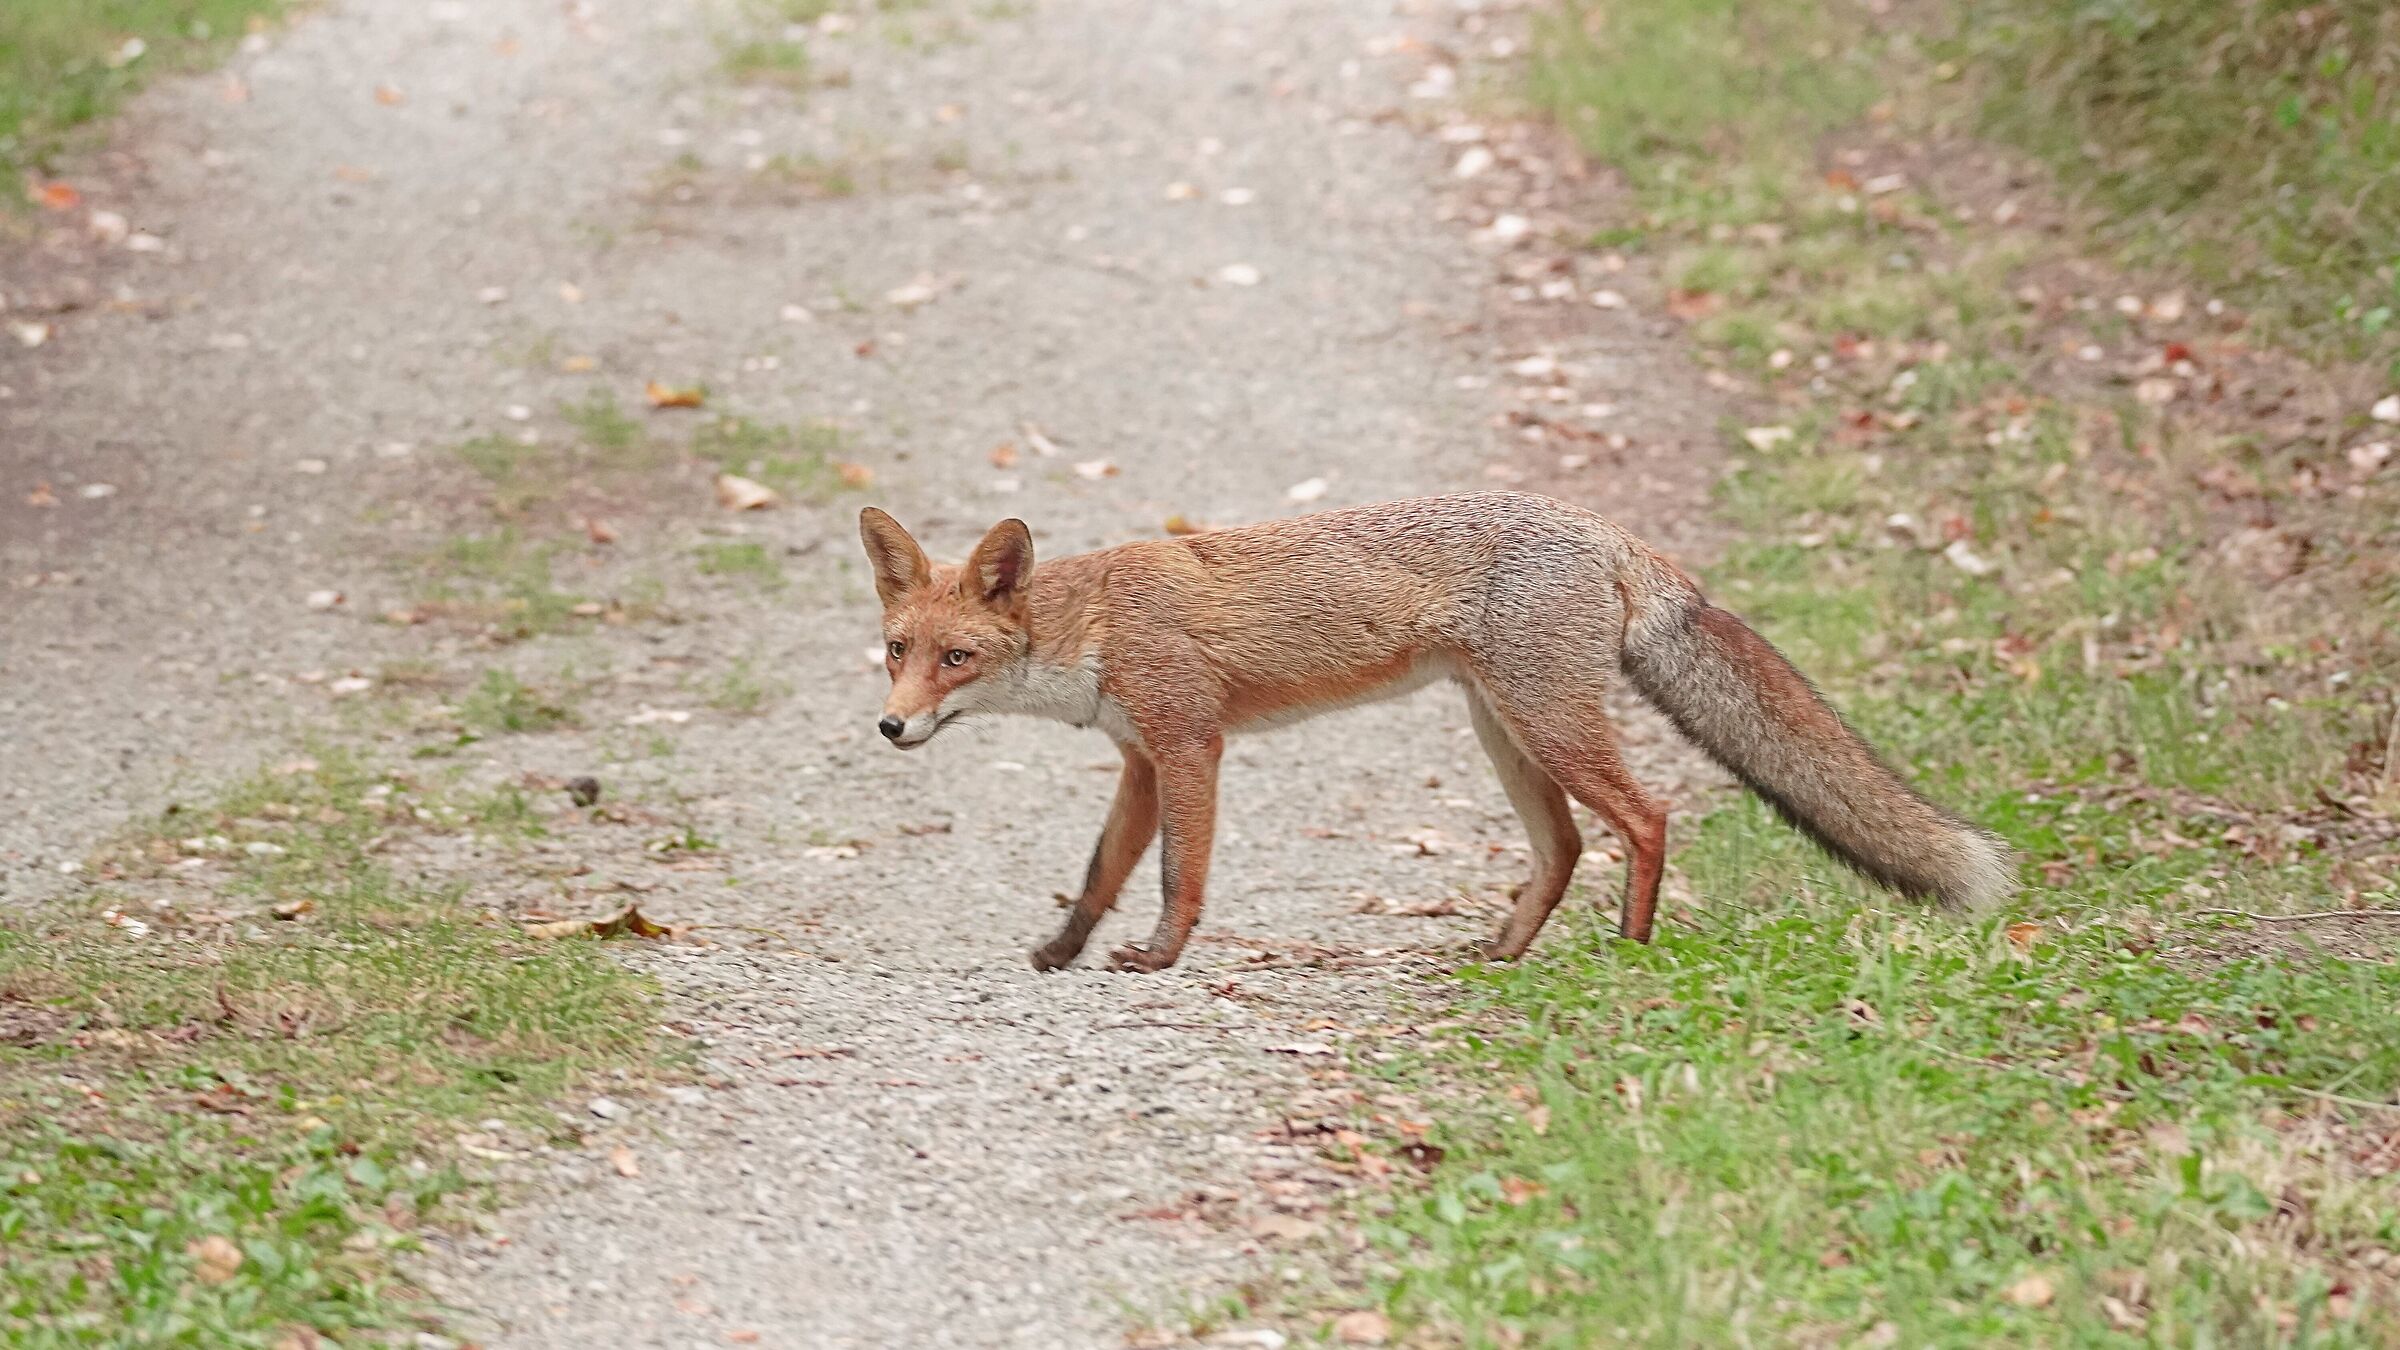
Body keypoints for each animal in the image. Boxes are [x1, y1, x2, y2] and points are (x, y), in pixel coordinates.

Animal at [858, 492, 2013, 973]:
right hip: (1507, 736)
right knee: (1566, 848)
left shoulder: (1189, 745)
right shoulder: (1141, 758)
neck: (1094, 625)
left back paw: (1632, 950)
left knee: (1646, 818)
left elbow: (1180, 875)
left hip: (1549, 727)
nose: (891, 726)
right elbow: (1099, 874)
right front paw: (1064, 950)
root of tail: (1602, 528)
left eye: (956, 659)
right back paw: (1502, 951)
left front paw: (1161, 956)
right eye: (897, 649)